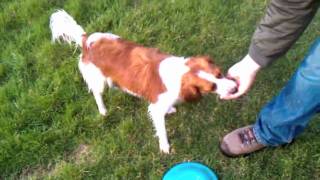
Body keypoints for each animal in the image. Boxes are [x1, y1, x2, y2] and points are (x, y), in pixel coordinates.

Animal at [48, 9, 236, 153]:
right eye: (212, 86)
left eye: (220, 74)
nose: (234, 88)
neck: (178, 73)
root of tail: (87, 39)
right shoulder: (156, 109)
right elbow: (162, 130)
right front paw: (165, 147)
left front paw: (170, 110)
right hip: (99, 81)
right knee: (97, 94)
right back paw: (103, 110)